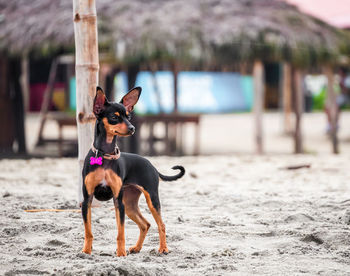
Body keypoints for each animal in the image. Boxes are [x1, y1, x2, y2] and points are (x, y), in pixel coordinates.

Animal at [81, 86, 186, 256]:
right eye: (114, 117)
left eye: (128, 116)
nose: (132, 128)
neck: (106, 155)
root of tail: (151, 165)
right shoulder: (87, 200)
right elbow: (88, 231)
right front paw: (85, 251)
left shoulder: (118, 201)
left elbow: (120, 232)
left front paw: (120, 253)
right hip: (130, 205)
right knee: (145, 224)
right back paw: (137, 248)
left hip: (150, 200)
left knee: (161, 224)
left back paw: (163, 248)